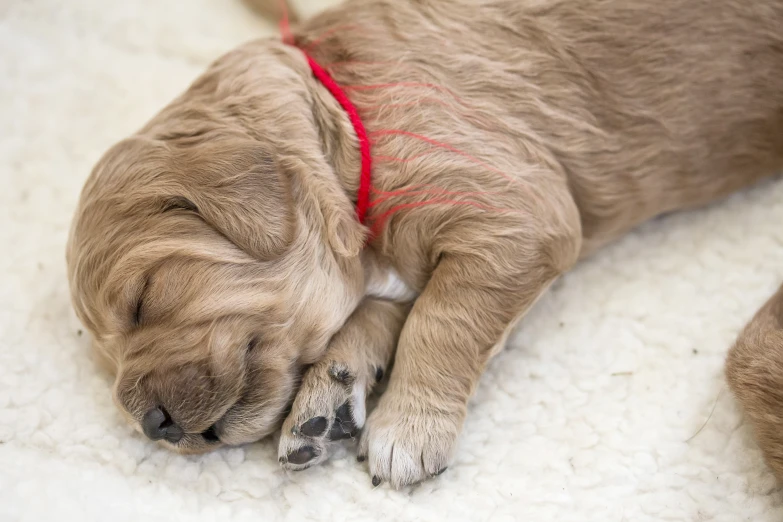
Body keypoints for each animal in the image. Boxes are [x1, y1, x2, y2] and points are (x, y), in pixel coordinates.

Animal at [67, 0, 783, 486]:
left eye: (143, 298)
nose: (151, 426)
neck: (346, 109)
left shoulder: (514, 212)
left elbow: (441, 321)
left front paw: (407, 430)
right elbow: (385, 311)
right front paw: (328, 399)